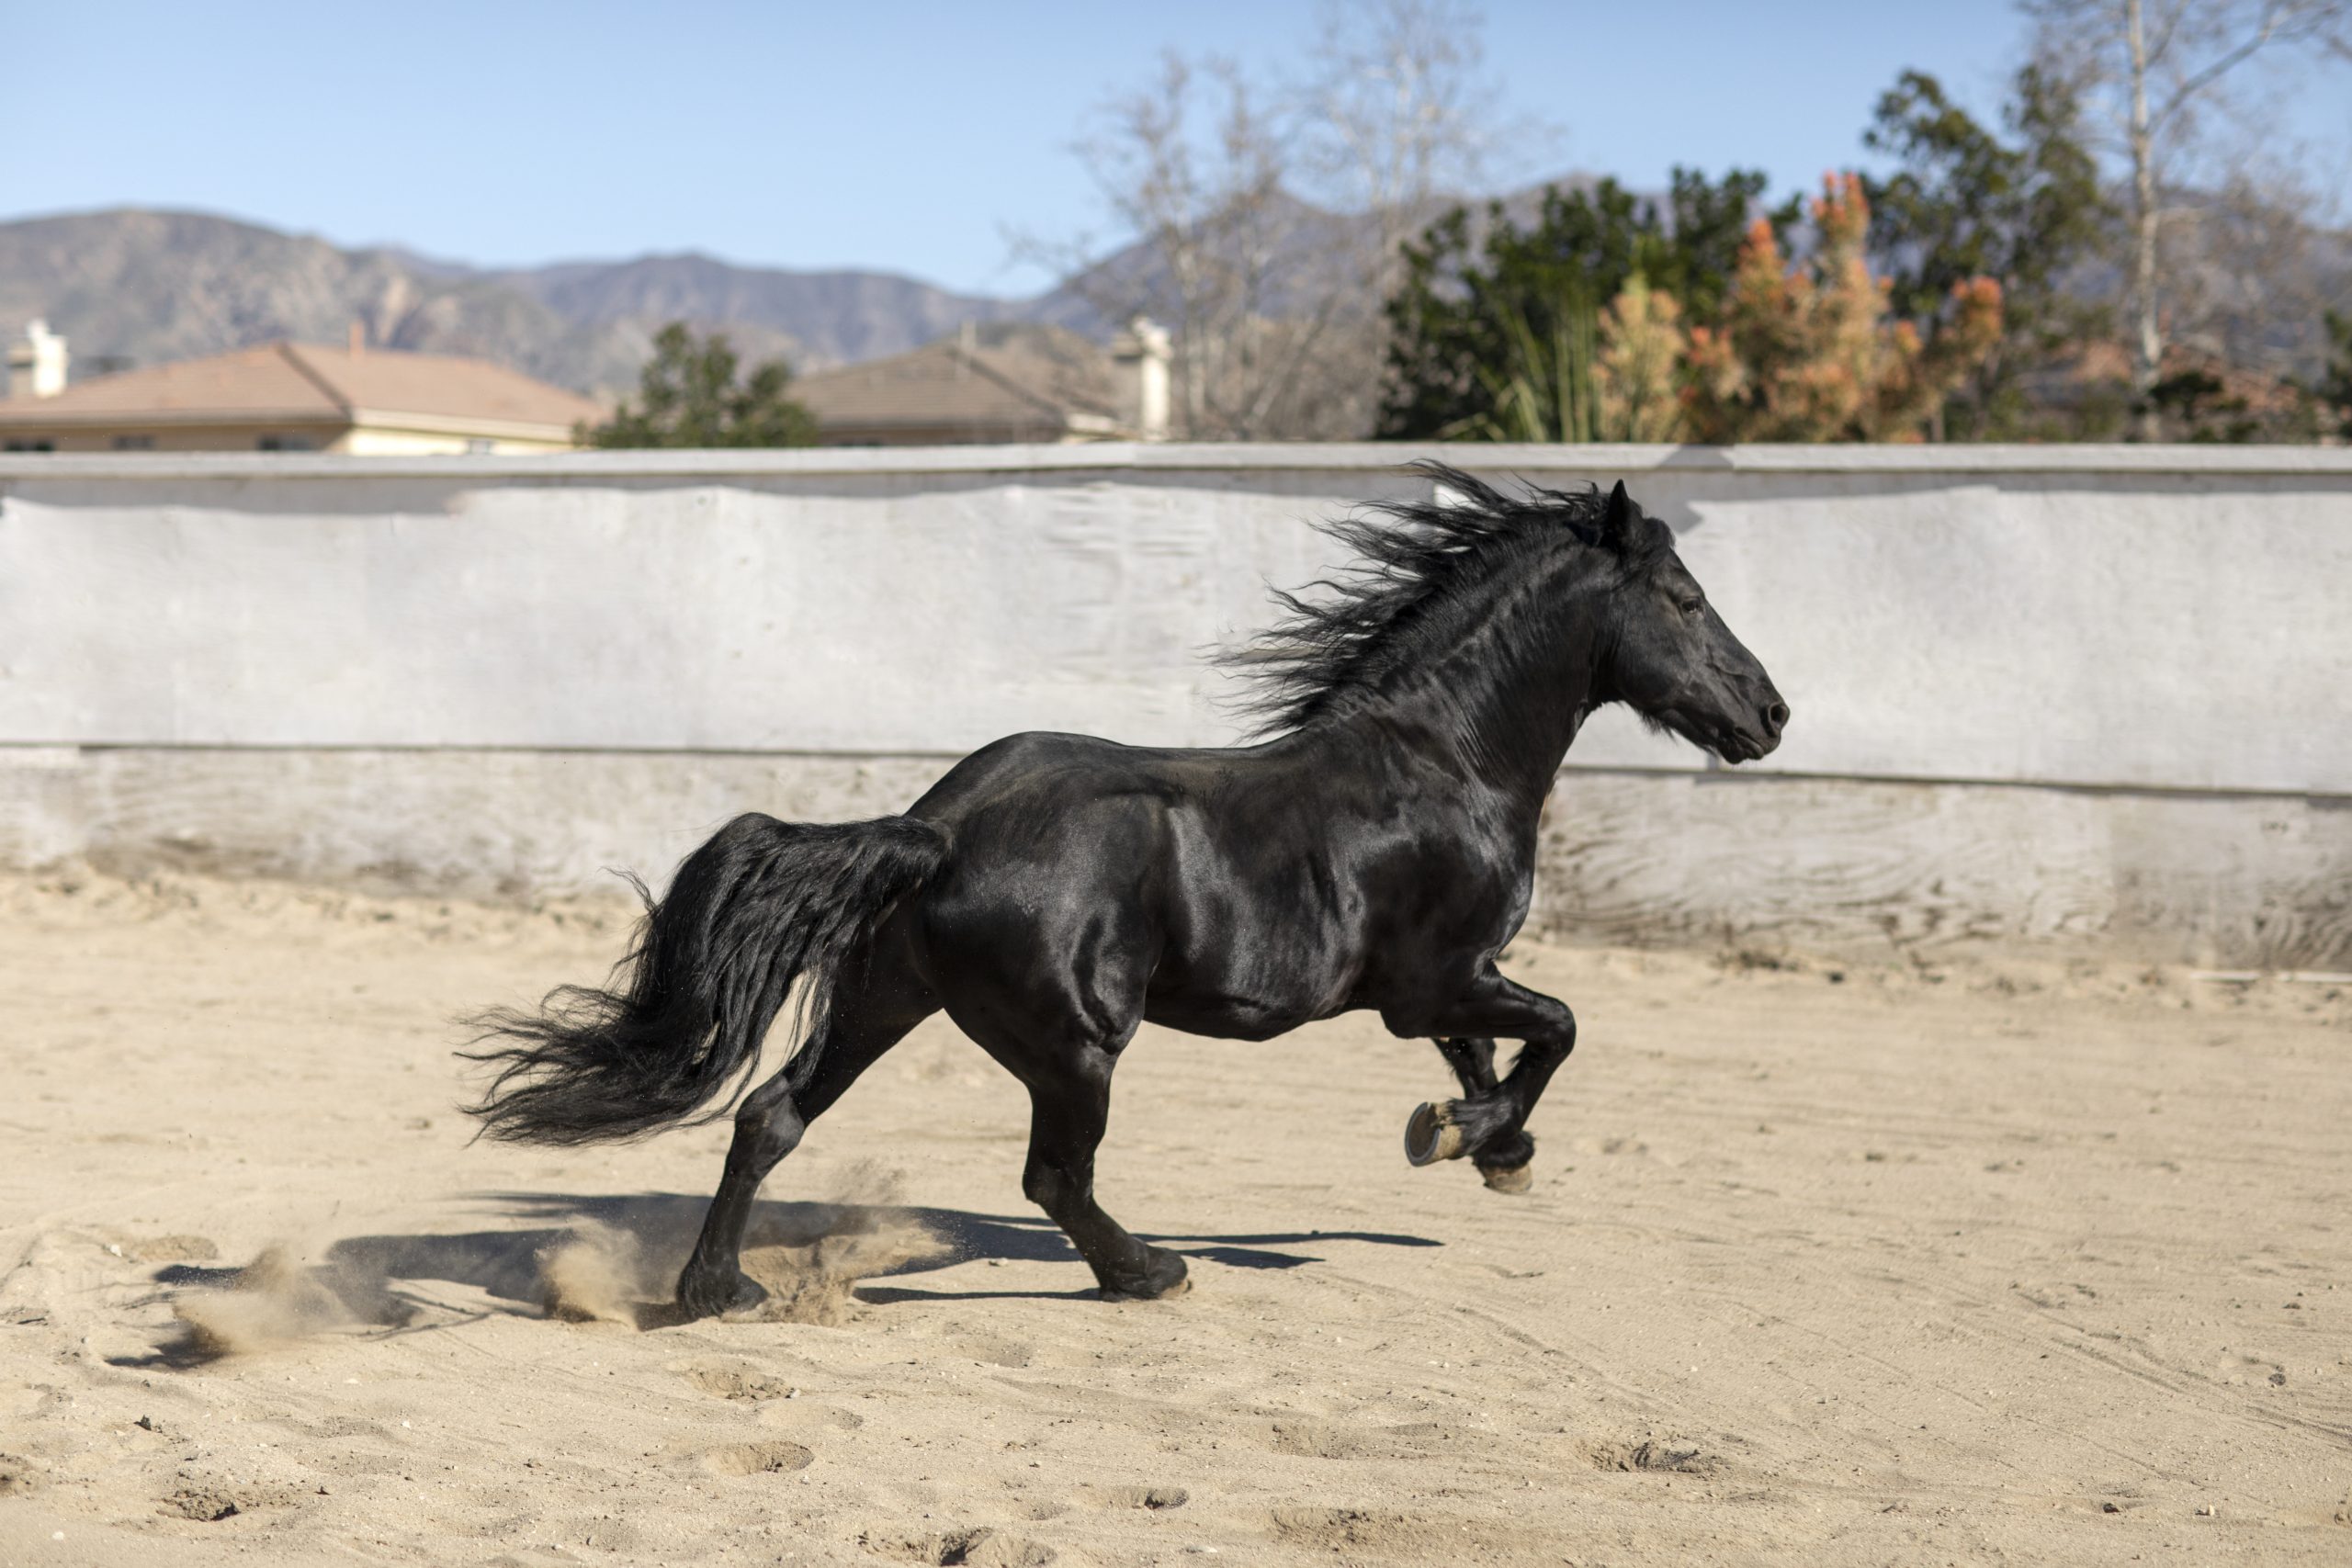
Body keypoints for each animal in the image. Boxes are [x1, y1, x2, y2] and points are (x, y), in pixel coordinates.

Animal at [458, 463, 1778, 1316]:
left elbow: (1486, 1057)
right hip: (1074, 1040)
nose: (1769, 713)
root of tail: (940, 826)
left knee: (771, 1115)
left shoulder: (1436, 988)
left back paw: (717, 1287)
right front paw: (1468, 1138)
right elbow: (1553, 1029)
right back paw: (1148, 1271)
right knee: (1054, 1175)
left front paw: (1488, 1145)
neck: (1444, 760)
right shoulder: (1438, 977)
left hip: (890, 1000)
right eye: (1686, 600)